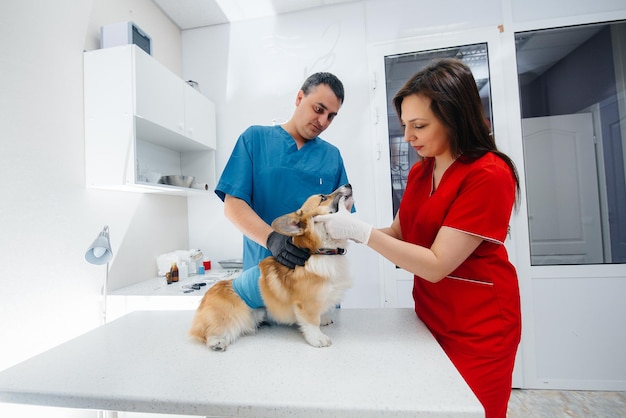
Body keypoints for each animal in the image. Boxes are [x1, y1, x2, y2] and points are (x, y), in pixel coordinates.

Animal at [188, 185, 354, 352]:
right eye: (323, 198)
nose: (348, 185)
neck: (321, 252)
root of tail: (205, 299)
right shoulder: (306, 304)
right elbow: (311, 323)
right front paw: (318, 338)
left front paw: (323, 319)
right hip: (236, 315)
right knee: (204, 332)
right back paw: (216, 342)